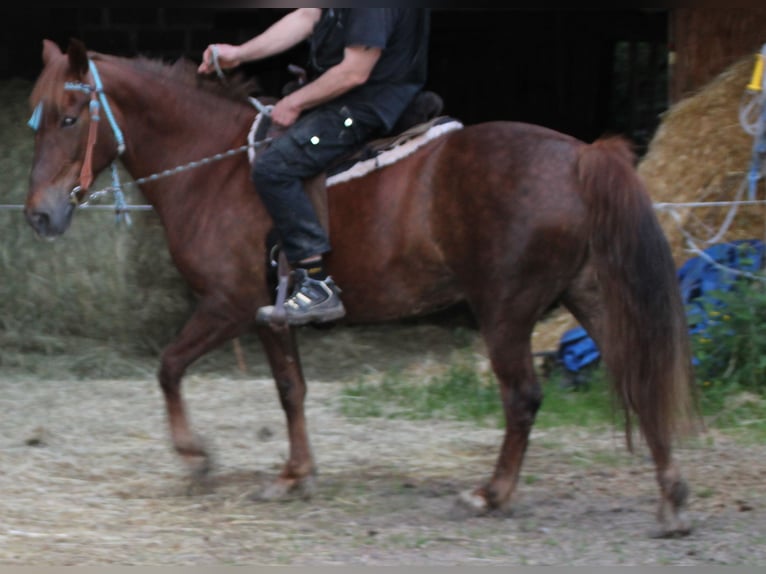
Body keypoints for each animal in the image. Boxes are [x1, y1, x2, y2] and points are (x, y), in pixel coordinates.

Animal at [24, 38, 700, 536]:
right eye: (36, 122)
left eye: (69, 117)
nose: (39, 216)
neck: (215, 169)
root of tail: (580, 156)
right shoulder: (272, 316)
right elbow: (291, 391)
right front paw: (295, 474)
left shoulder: (230, 307)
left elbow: (170, 367)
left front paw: (196, 457)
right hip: (589, 296)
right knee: (637, 377)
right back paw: (670, 496)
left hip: (505, 310)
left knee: (523, 398)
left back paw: (491, 493)